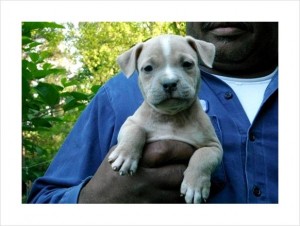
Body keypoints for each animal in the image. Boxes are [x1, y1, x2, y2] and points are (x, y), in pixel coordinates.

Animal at [108, 34, 223, 204]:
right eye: (148, 68)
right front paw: (125, 156)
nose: (169, 83)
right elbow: (135, 130)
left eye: (187, 64)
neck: (171, 116)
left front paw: (194, 186)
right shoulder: (130, 122)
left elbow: (203, 157)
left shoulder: (213, 146)